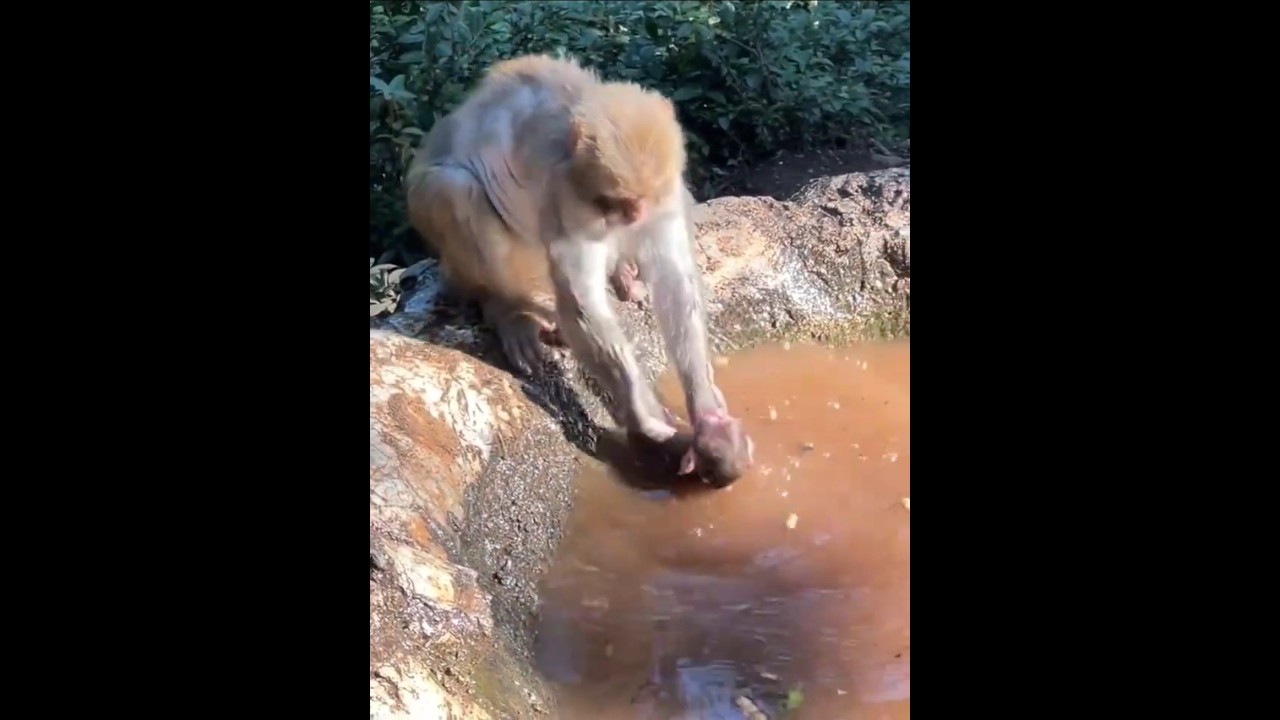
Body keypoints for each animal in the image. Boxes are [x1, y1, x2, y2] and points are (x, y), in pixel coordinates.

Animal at [404, 54, 752, 485]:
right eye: (611, 202)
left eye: (635, 203)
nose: (630, 217)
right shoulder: (567, 196)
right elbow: (581, 302)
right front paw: (645, 413)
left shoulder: (666, 191)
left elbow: (675, 281)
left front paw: (708, 416)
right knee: (453, 190)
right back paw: (509, 311)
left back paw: (622, 274)